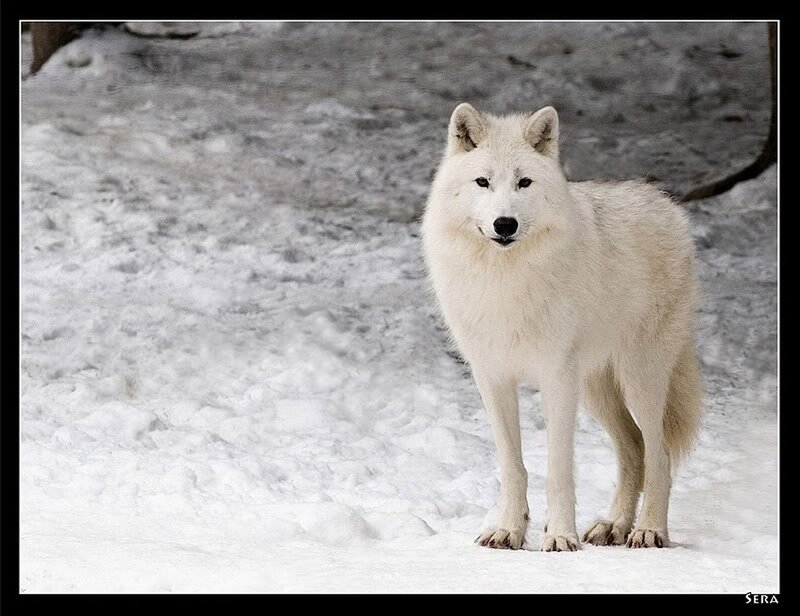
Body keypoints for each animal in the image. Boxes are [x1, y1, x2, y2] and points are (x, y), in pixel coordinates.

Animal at [421, 103, 702, 551]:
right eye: (483, 182)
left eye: (524, 182)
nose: (505, 224)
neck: (505, 279)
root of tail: (665, 204)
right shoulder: (492, 378)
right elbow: (513, 466)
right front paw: (509, 530)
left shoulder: (557, 378)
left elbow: (558, 471)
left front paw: (559, 538)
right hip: (597, 390)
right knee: (634, 451)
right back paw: (613, 526)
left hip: (637, 380)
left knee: (658, 456)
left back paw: (648, 530)